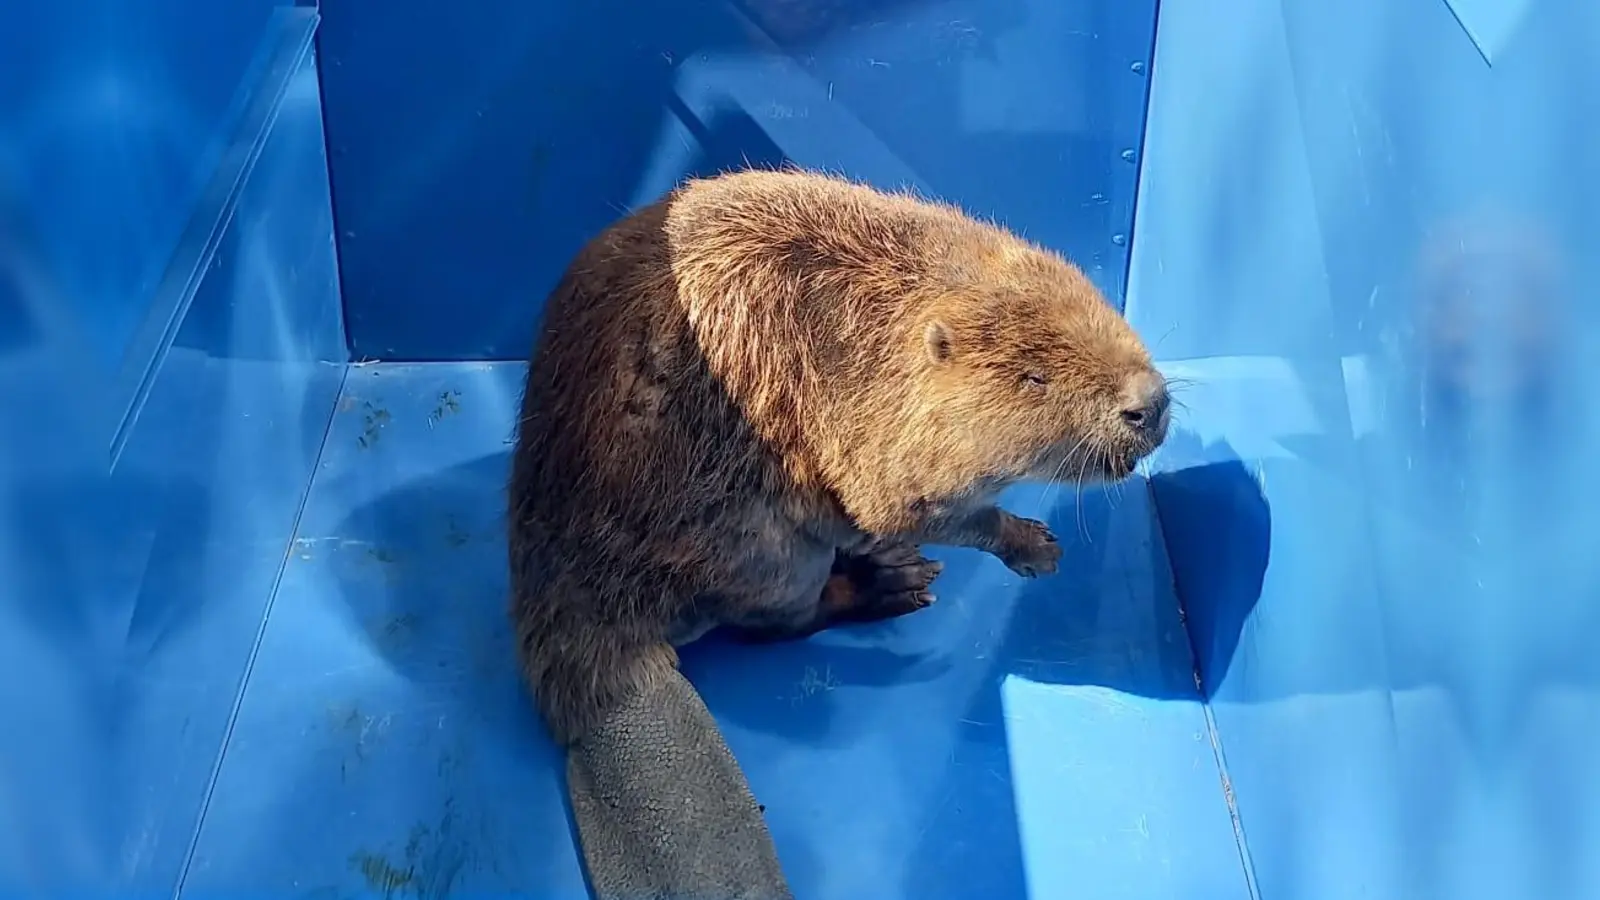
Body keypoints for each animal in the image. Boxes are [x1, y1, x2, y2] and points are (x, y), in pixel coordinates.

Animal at [505, 166, 1171, 890]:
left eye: (1094, 309)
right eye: (1034, 377)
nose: (1149, 404)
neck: (904, 311)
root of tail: (599, 693)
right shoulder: (881, 443)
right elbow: (910, 509)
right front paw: (1034, 547)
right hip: (766, 552)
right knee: (778, 622)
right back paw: (892, 582)